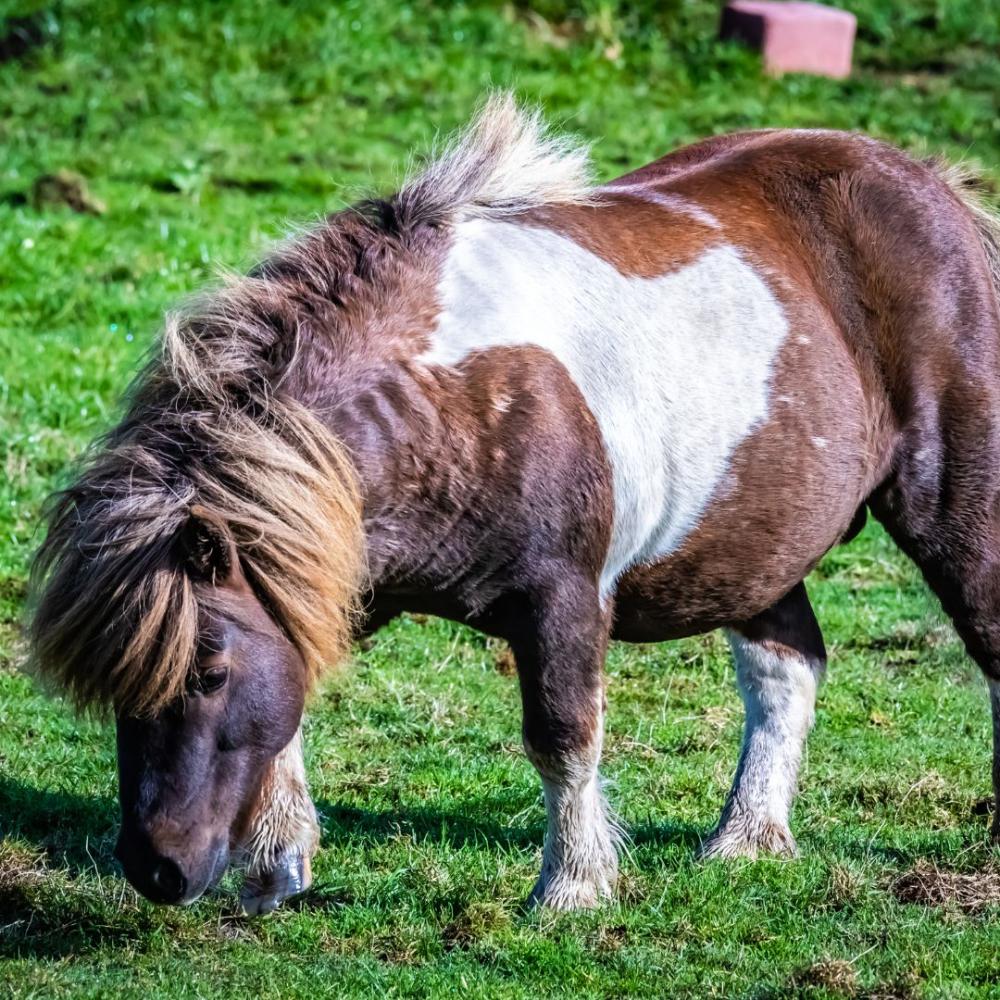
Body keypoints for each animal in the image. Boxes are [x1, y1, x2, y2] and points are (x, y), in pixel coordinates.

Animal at [27, 95, 1000, 916]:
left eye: (208, 674)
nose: (156, 870)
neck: (450, 393)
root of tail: (934, 187)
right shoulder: (337, 571)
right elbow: (293, 700)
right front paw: (278, 866)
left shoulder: (562, 599)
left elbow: (562, 739)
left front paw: (571, 892)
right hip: (752, 544)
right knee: (785, 673)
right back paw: (745, 842)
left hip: (954, 506)